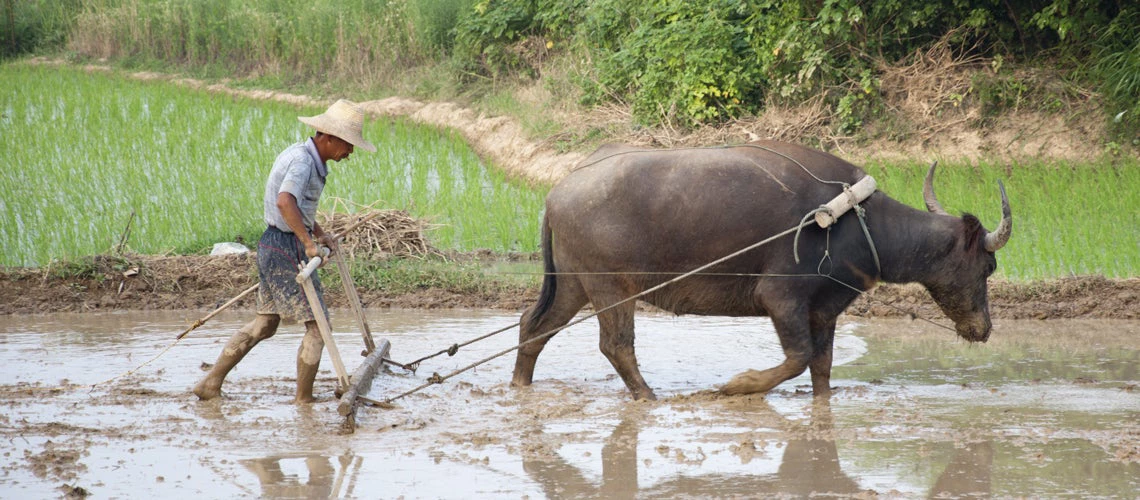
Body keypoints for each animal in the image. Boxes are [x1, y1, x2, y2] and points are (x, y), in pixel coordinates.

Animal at [513, 138, 1012, 400]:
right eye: (988, 265)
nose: (984, 329)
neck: (857, 221)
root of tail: (559, 191)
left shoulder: (824, 308)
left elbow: (822, 366)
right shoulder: (780, 298)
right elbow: (798, 357)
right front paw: (738, 386)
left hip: (574, 284)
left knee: (534, 325)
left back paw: (520, 385)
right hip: (611, 288)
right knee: (616, 345)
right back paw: (649, 398)